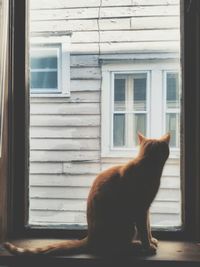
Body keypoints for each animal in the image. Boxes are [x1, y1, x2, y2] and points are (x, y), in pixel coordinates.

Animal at [4, 134, 170, 258]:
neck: (147, 164)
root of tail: (89, 237)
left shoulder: (146, 209)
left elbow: (148, 227)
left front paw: (151, 240)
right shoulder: (140, 209)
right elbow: (144, 230)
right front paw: (147, 246)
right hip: (127, 224)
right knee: (116, 247)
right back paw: (135, 246)